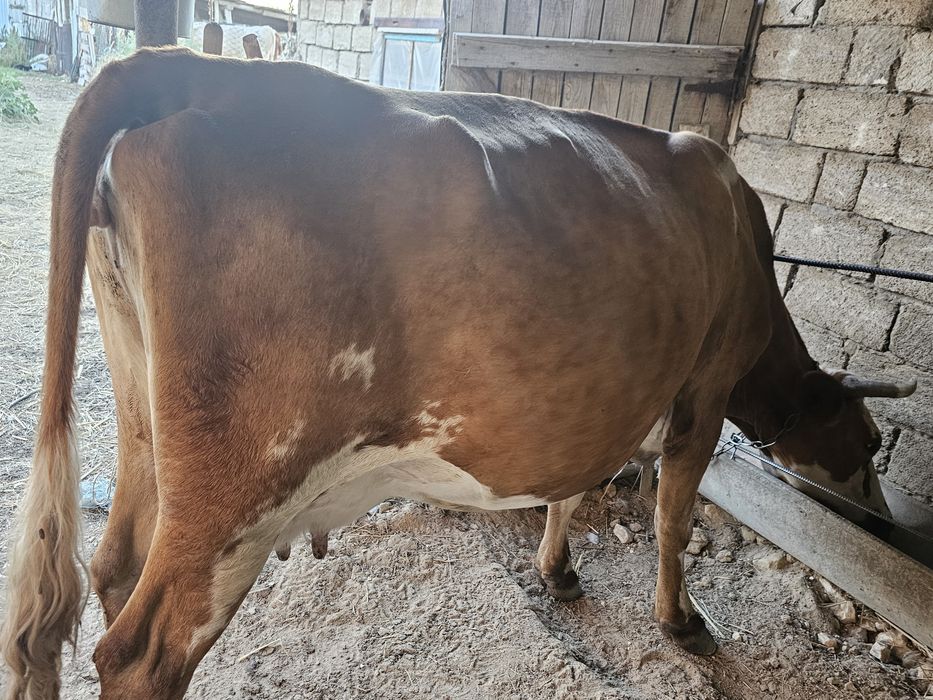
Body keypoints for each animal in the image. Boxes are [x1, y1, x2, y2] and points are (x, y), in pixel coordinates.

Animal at [1, 48, 916, 699]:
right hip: (241, 488)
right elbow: (671, 519)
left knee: (112, 566)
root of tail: (191, 66)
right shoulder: (705, 387)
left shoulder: (604, 398)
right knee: (143, 652)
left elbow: (573, 487)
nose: (883, 521)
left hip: (145, 423)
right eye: (869, 440)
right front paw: (680, 622)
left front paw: (558, 572)